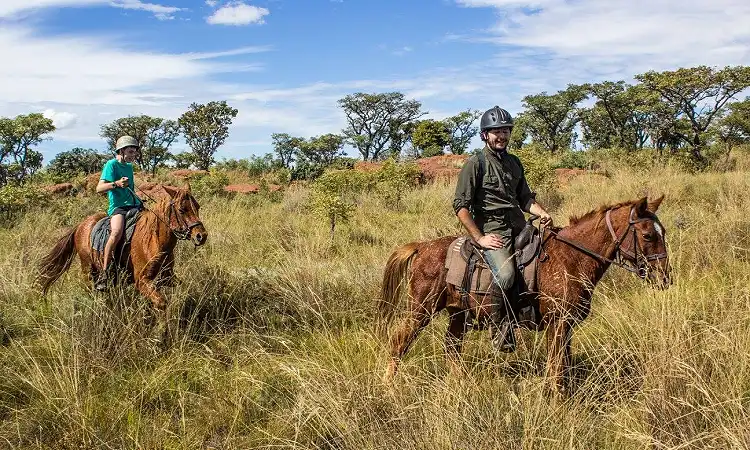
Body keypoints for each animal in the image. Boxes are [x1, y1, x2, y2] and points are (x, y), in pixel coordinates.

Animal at [36, 184, 207, 319]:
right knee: (89, 289)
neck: (155, 241)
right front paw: (162, 329)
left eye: (198, 207)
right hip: (88, 269)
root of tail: (80, 225)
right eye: (182, 210)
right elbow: (162, 303)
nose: (201, 236)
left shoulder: (167, 278)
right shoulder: (142, 281)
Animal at [377, 195, 671, 395]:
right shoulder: (557, 323)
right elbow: (557, 367)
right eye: (647, 235)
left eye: (663, 232)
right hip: (421, 309)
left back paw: (463, 384)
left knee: (451, 347)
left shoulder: (567, 326)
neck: (571, 258)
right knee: (400, 342)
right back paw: (388, 387)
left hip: (458, 313)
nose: (665, 277)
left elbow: (564, 364)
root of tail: (422, 246)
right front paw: (559, 403)